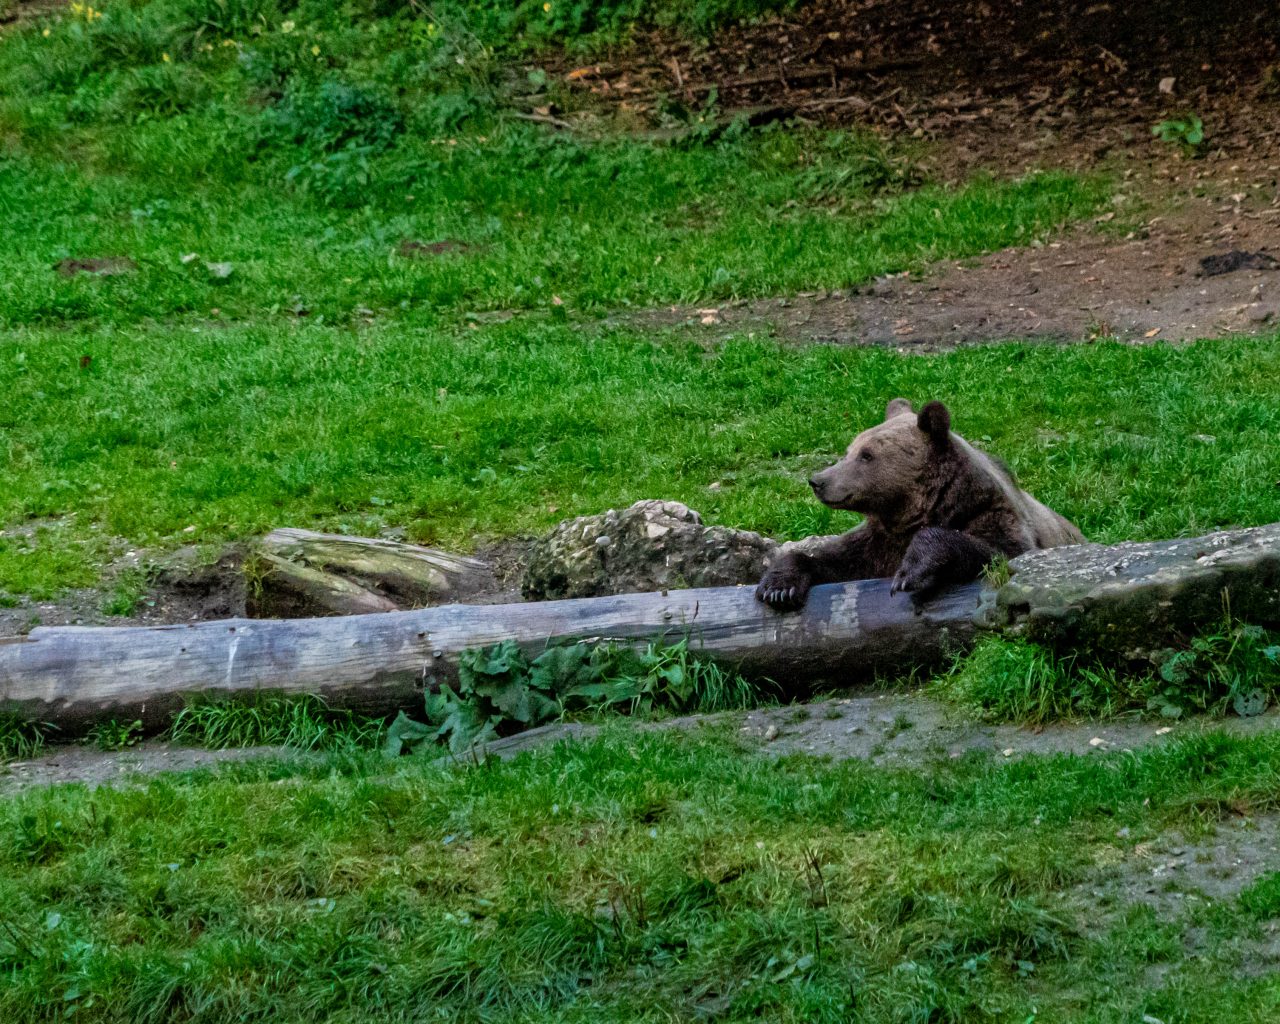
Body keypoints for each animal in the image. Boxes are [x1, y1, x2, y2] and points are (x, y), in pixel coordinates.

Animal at [752, 396, 1085, 609]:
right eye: (849, 450)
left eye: (867, 455)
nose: (818, 480)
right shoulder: (877, 544)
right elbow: (832, 559)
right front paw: (778, 588)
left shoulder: (992, 515)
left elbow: (1000, 553)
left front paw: (909, 574)